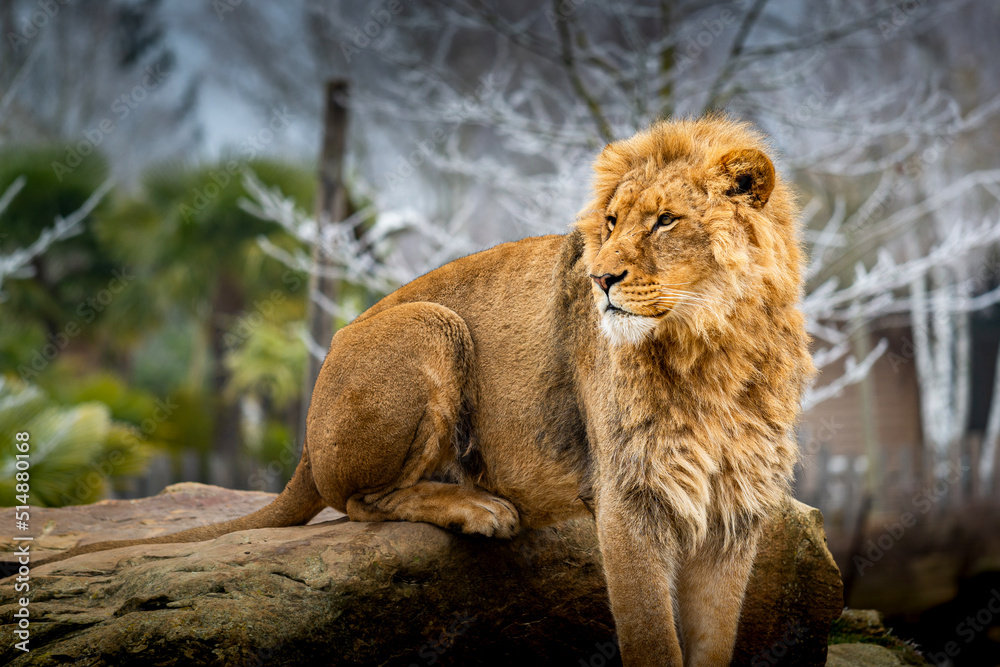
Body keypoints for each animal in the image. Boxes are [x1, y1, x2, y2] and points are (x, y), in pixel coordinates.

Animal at [32, 116, 813, 666]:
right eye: (613, 223)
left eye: (666, 220)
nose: (600, 279)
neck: (714, 347)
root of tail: (306, 441)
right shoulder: (630, 494)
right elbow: (653, 638)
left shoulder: (734, 507)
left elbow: (714, 640)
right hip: (430, 325)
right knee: (360, 500)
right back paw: (480, 508)